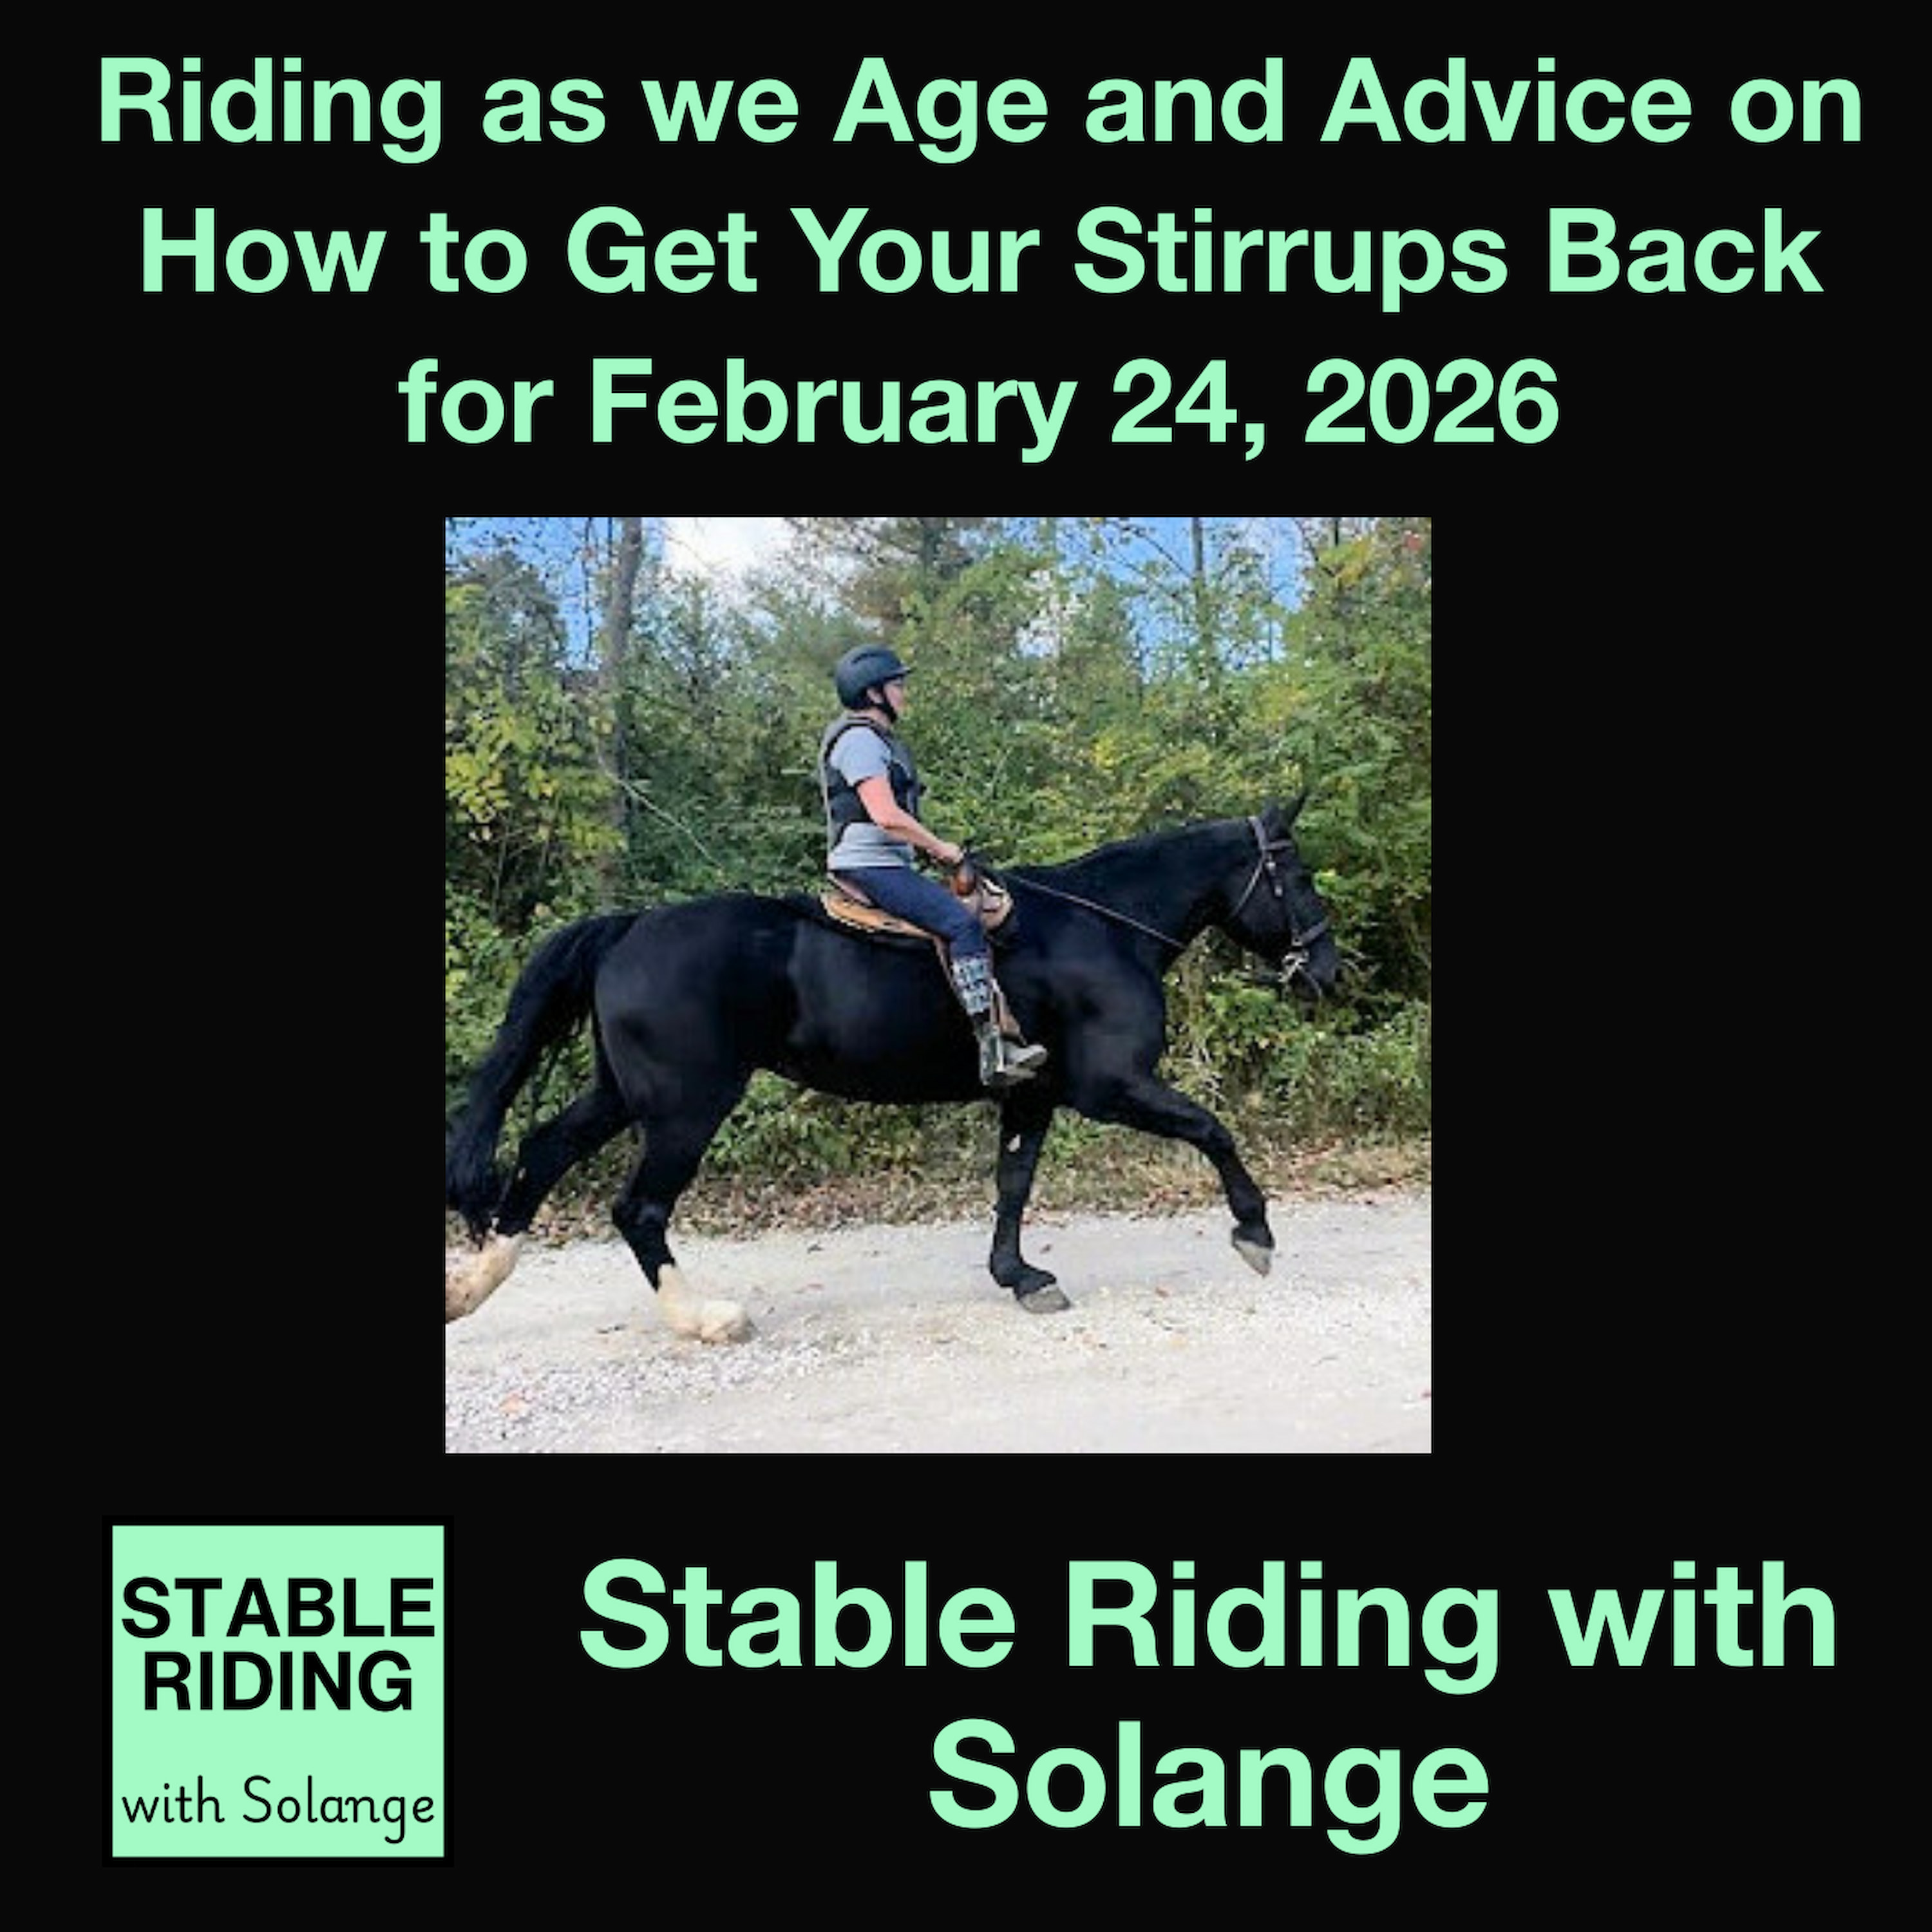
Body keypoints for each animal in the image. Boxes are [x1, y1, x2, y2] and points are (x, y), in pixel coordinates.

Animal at [445, 799, 1341, 1338]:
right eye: (1295, 875)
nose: (1329, 971)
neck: (1108, 929)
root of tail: (629, 927)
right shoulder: (1111, 1088)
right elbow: (1212, 1129)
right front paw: (1255, 1233)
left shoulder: (1034, 1093)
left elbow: (1013, 1184)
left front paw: (1020, 1277)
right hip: (684, 1109)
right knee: (638, 1208)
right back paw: (708, 1320)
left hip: (622, 1094)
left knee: (541, 1154)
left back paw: (472, 1287)